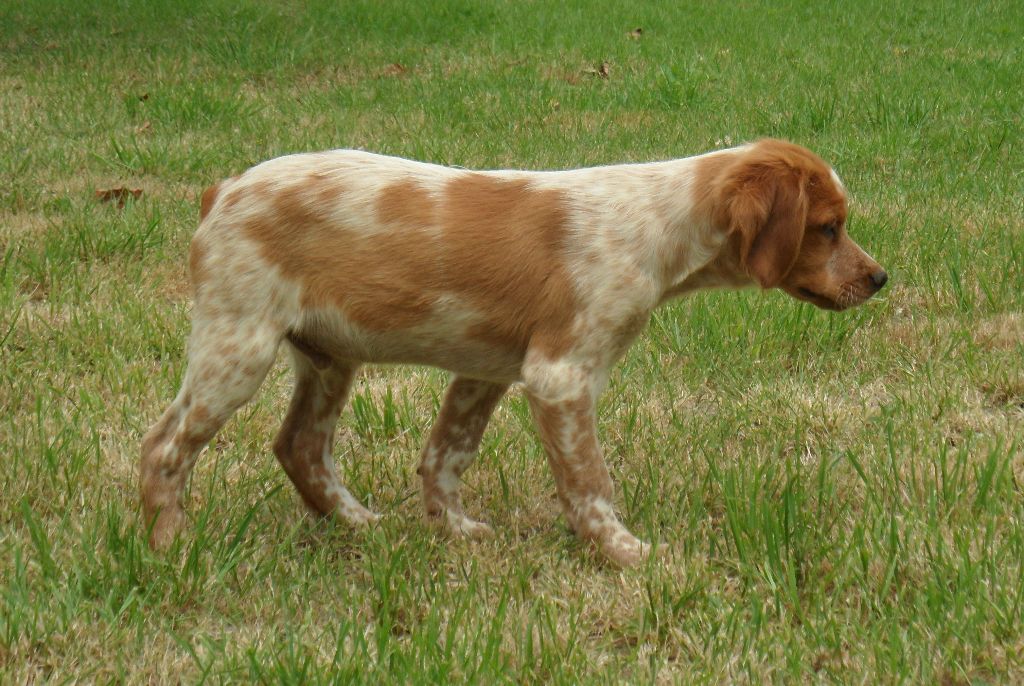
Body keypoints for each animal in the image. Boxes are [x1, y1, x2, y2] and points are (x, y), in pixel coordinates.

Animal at [140, 139, 887, 566]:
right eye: (829, 228)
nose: (881, 278)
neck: (658, 222)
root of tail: (223, 189)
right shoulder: (561, 376)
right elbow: (589, 483)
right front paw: (623, 554)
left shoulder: (484, 371)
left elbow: (445, 456)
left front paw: (453, 532)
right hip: (237, 345)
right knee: (164, 446)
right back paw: (168, 545)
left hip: (328, 357)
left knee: (300, 446)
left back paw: (359, 526)